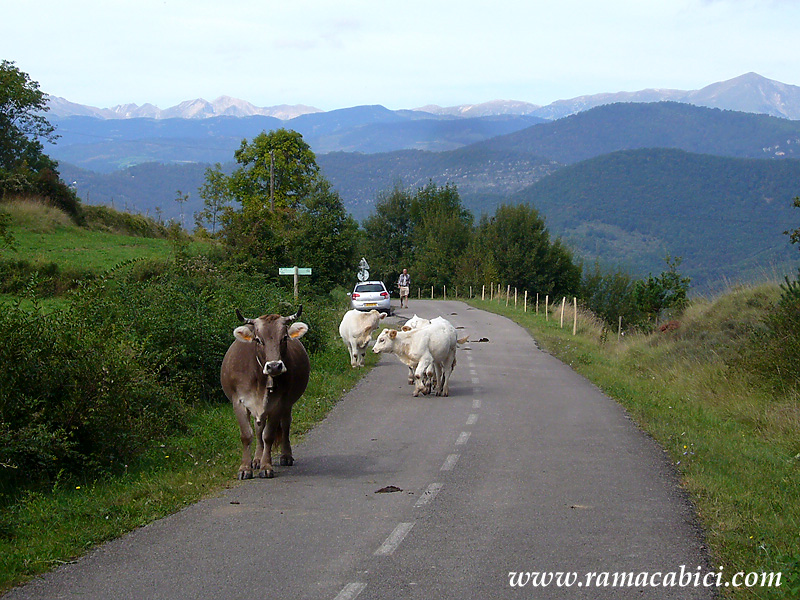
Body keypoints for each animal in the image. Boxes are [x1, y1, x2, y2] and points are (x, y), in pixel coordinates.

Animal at [220, 304, 310, 478]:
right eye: (258, 340)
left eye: (284, 338)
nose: (274, 366)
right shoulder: (239, 401)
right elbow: (247, 435)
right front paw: (245, 468)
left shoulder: (278, 403)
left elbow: (268, 435)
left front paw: (266, 466)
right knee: (258, 429)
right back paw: (256, 459)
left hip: (287, 404)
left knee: (285, 424)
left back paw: (285, 456)